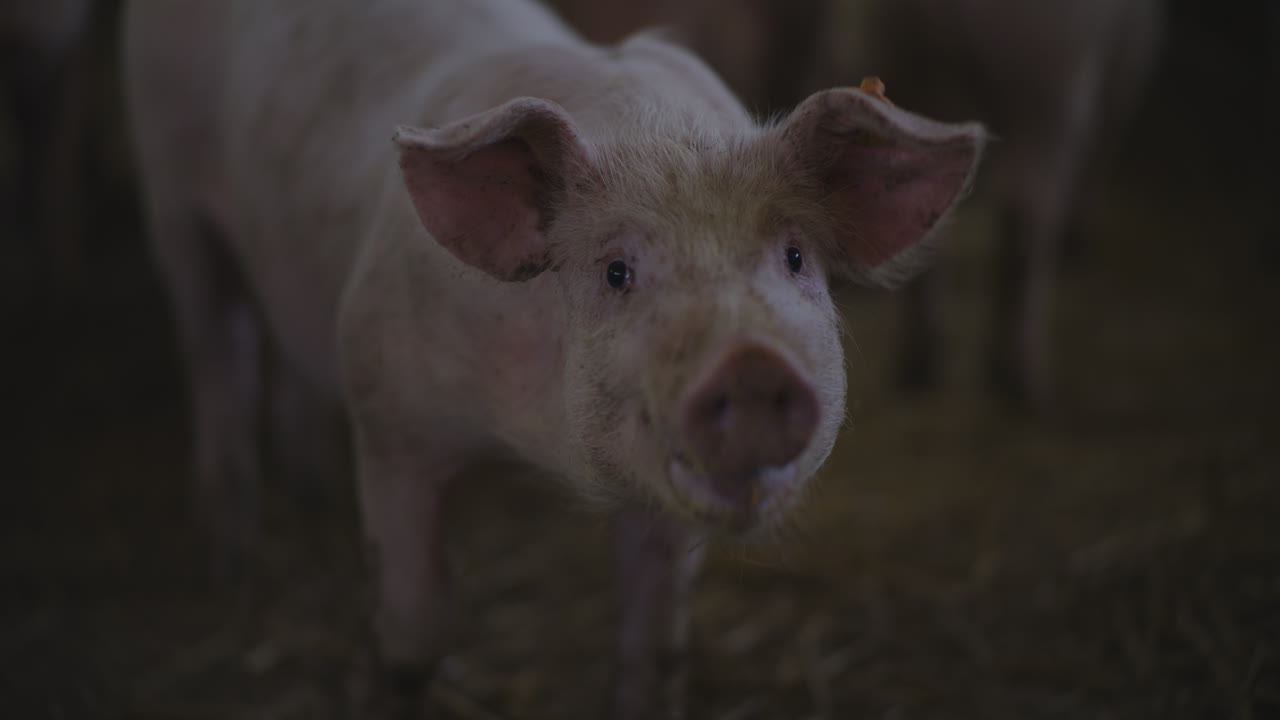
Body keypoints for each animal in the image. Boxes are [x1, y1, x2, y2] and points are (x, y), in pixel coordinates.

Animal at [124, 0, 983, 716]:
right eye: (616, 272)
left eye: (796, 256)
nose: (750, 363)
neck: (534, 448)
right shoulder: (386, 406)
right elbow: (413, 632)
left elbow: (655, 651)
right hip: (168, 187)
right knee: (218, 352)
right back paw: (230, 564)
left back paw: (307, 498)